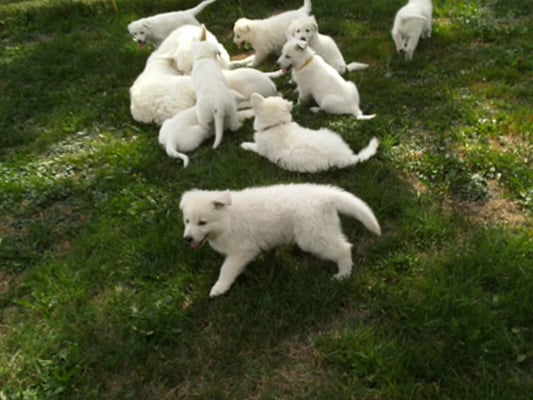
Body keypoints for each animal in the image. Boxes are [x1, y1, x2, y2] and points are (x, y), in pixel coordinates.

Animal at [180, 183, 381, 297]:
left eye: (202, 222)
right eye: (187, 221)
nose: (187, 239)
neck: (228, 219)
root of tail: (325, 195)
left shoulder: (242, 250)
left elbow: (226, 269)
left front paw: (219, 288)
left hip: (312, 236)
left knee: (343, 248)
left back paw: (343, 275)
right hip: (321, 230)